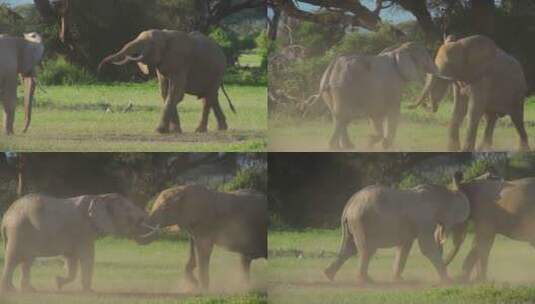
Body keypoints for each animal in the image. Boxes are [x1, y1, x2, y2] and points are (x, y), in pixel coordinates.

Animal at [0, 192, 151, 292]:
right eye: (129, 212)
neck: (101, 197)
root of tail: (6, 217)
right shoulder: (83, 231)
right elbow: (87, 257)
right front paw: (90, 292)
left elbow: (71, 259)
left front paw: (57, 283)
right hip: (19, 230)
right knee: (14, 259)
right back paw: (11, 291)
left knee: (26, 260)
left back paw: (29, 290)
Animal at [99, 29, 237, 134]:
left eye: (150, 43)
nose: (100, 68)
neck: (165, 35)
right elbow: (165, 93)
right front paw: (174, 131)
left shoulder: (181, 63)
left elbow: (175, 93)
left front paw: (159, 131)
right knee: (211, 97)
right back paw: (222, 128)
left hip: (217, 71)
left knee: (208, 98)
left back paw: (200, 130)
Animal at [135, 184, 266, 290]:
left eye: (164, 208)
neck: (182, 190)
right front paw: (195, 284)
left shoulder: (205, 225)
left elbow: (204, 250)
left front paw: (202, 290)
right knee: (245, 261)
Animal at [322, 172, 468, 284]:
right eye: (460, 223)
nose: (456, 277)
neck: (442, 192)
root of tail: (349, 205)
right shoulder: (423, 219)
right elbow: (426, 246)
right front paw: (448, 281)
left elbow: (404, 247)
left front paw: (399, 280)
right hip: (361, 221)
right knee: (367, 249)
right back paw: (366, 281)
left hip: (354, 223)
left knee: (350, 248)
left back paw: (328, 275)